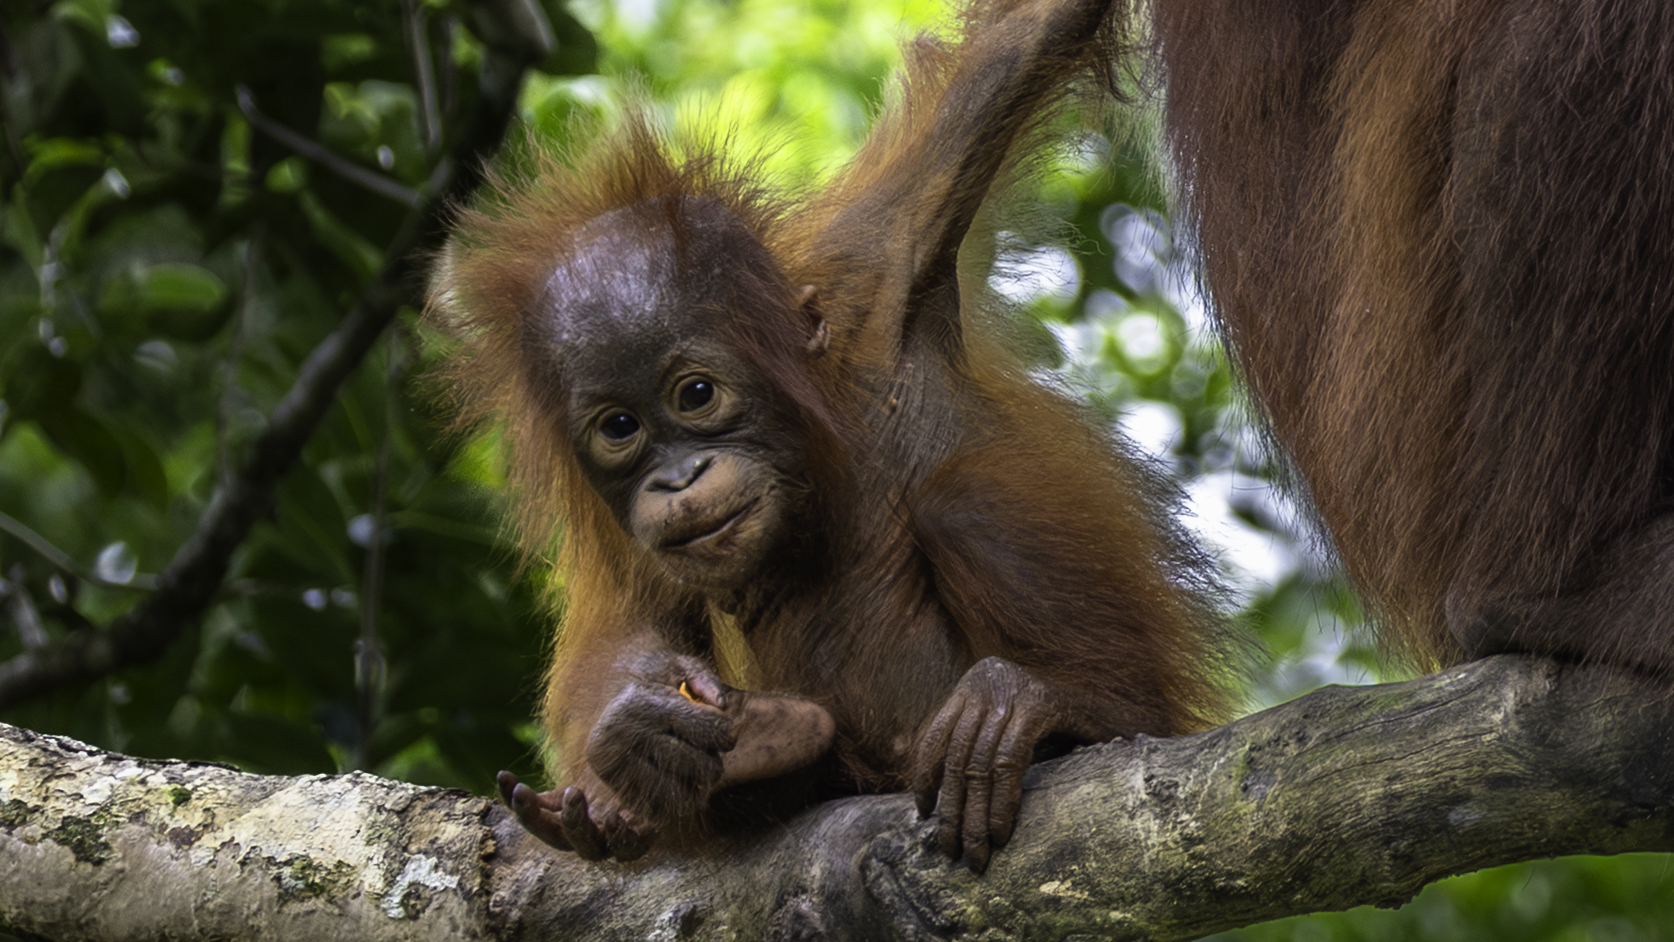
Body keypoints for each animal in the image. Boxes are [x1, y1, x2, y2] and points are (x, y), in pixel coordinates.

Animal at [430, 0, 1239, 870]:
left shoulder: (885, 258)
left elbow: (1022, 43)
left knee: (965, 498)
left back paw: (1053, 704)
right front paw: (629, 746)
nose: (678, 480)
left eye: (696, 394)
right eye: (620, 428)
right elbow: (627, 614)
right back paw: (764, 748)